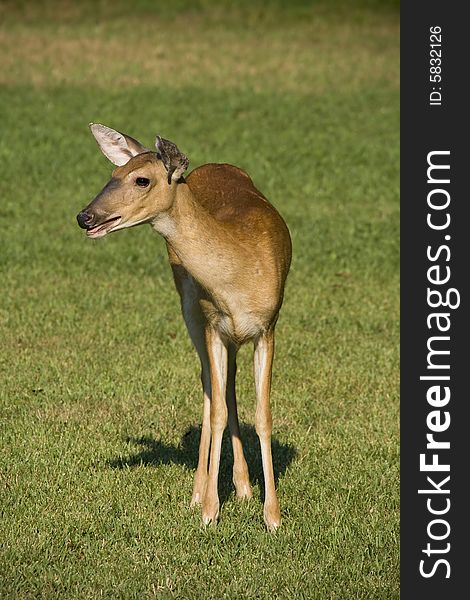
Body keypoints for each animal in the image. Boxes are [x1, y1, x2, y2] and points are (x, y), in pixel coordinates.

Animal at [76, 123, 290, 528]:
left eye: (141, 179)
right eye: (113, 173)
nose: (85, 217)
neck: (238, 275)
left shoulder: (267, 327)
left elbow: (263, 415)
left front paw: (272, 517)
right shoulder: (212, 322)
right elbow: (216, 409)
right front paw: (209, 510)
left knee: (227, 386)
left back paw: (243, 487)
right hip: (189, 304)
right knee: (210, 388)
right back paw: (201, 492)